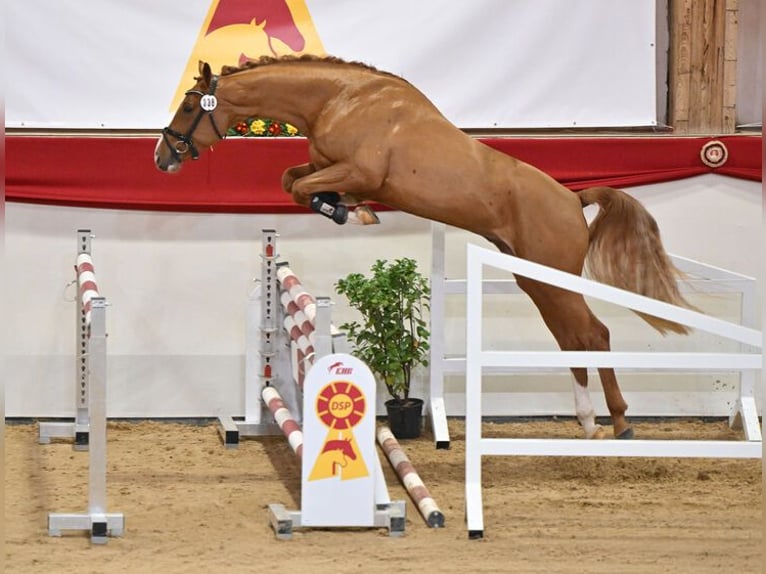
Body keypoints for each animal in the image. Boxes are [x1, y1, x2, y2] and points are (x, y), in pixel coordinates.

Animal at [155, 55, 695, 440]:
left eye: (189, 107)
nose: (162, 158)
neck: (340, 99)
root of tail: (572, 197)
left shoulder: (358, 171)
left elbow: (300, 187)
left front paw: (348, 211)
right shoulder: (327, 168)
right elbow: (292, 181)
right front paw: (347, 209)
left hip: (550, 277)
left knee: (594, 334)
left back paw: (619, 422)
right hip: (533, 279)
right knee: (573, 338)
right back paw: (587, 419)